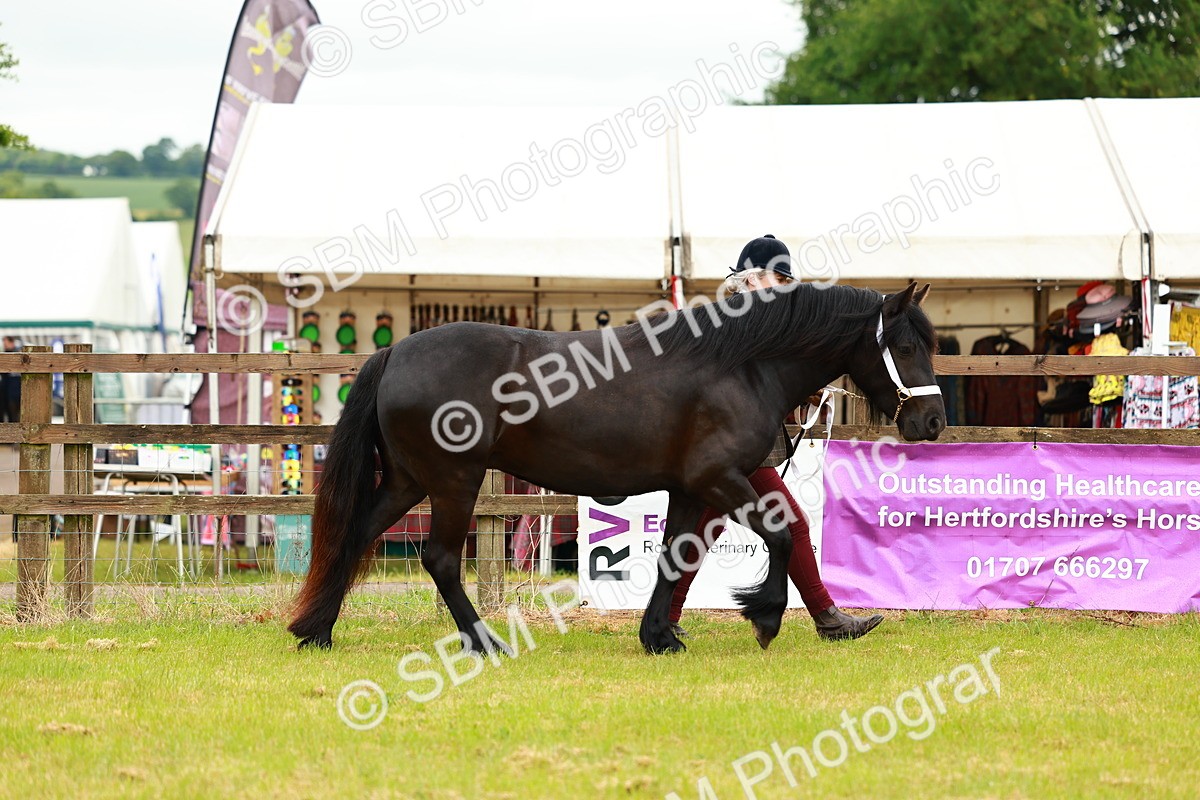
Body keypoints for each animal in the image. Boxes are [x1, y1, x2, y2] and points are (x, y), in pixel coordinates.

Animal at [288, 280, 945, 655]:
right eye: (905, 346)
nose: (933, 421)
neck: (740, 364)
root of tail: (395, 350)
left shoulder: (692, 489)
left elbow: (676, 556)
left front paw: (660, 636)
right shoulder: (719, 480)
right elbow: (781, 535)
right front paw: (763, 617)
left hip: (407, 481)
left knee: (355, 537)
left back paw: (315, 631)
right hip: (454, 482)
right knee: (441, 559)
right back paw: (484, 643)